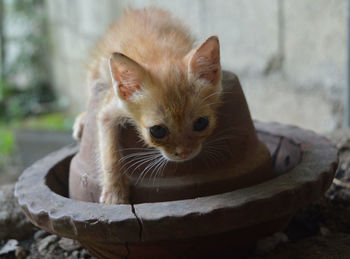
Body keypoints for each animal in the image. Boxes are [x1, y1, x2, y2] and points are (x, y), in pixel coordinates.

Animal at [73, 8, 223, 205]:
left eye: (201, 123)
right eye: (157, 131)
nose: (185, 153)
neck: (159, 55)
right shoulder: (109, 109)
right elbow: (109, 152)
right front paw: (115, 193)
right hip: (97, 71)